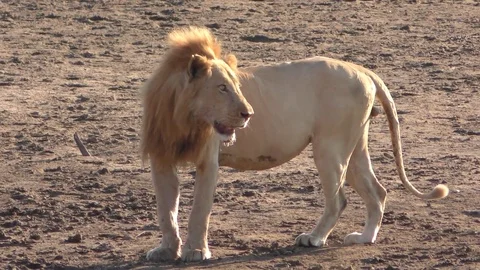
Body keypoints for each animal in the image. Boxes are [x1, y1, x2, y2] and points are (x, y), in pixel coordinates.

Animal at [141, 26, 448, 262]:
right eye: (222, 88)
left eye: (237, 87)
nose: (248, 114)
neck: (181, 116)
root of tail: (361, 69)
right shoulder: (161, 158)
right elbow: (165, 209)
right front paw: (165, 251)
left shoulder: (209, 160)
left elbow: (199, 210)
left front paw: (195, 252)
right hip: (355, 147)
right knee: (378, 191)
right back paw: (365, 237)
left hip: (330, 147)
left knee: (339, 199)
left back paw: (314, 238)